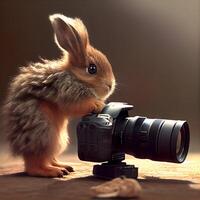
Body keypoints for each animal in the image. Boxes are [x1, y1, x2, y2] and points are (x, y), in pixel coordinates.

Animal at [2, 13, 115, 177]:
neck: (74, 76)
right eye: (92, 69)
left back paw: (63, 166)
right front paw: (98, 104)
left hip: (59, 139)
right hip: (46, 135)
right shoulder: (68, 94)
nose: (110, 85)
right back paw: (54, 171)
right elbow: (80, 105)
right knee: (34, 165)